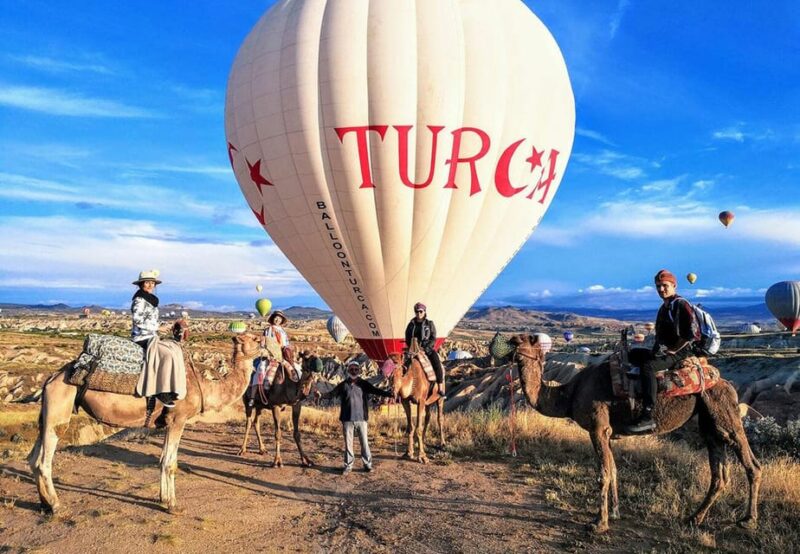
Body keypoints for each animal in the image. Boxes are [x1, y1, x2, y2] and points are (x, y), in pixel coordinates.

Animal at [28, 332, 262, 514]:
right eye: (257, 339)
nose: (266, 348)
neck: (203, 385)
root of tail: (51, 378)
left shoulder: (168, 422)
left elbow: (162, 460)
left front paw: (162, 499)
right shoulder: (178, 419)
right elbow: (170, 463)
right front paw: (173, 505)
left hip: (48, 412)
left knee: (32, 458)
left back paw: (44, 504)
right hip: (60, 403)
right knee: (44, 460)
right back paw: (56, 505)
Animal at [509, 334, 761, 534]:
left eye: (525, 339)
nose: (510, 342)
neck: (569, 394)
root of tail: (724, 382)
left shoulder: (598, 428)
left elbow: (603, 474)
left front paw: (599, 523)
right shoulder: (608, 433)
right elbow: (613, 470)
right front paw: (615, 513)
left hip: (724, 412)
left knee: (751, 464)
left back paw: (748, 520)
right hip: (709, 423)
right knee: (719, 474)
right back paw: (693, 518)